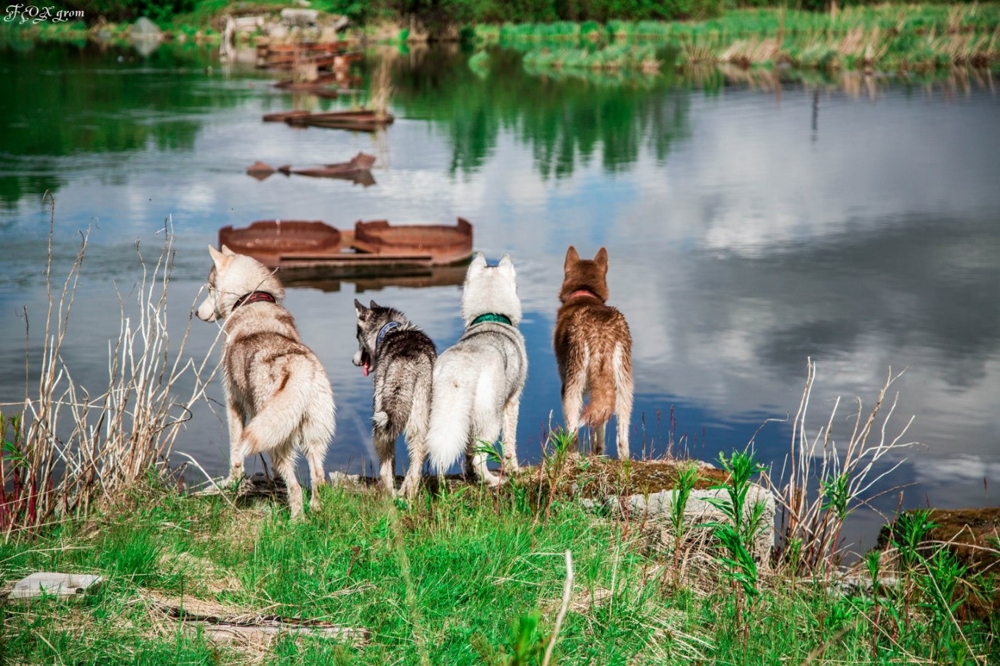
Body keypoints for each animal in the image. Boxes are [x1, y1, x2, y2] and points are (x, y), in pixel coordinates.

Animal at [195, 245, 336, 520]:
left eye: (209, 288)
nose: (194, 312)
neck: (251, 298)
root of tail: (300, 367)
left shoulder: (234, 405)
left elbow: (234, 453)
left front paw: (232, 483)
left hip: (277, 441)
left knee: (295, 487)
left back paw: (296, 521)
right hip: (312, 439)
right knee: (318, 478)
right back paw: (315, 511)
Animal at [354, 298, 436, 496]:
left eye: (356, 337)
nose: (354, 361)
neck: (390, 329)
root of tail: (406, 362)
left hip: (379, 420)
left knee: (386, 463)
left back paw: (389, 492)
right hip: (418, 419)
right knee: (417, 458)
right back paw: (409, 493)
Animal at [426, 253, 528, 482]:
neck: (490, 315)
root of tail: (461, 366)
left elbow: (467, 451)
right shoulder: (512, 402)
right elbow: (510, 444)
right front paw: (514, 469)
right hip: (490, 420)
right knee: (480, 457)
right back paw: (492, 480)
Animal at [556, 244, 632, 456]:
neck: (584, 293)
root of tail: (601, 334)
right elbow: (598, 427)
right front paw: (598, 453)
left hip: (572, 389)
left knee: (572, 435)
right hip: (624, 390)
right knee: (622, 440)